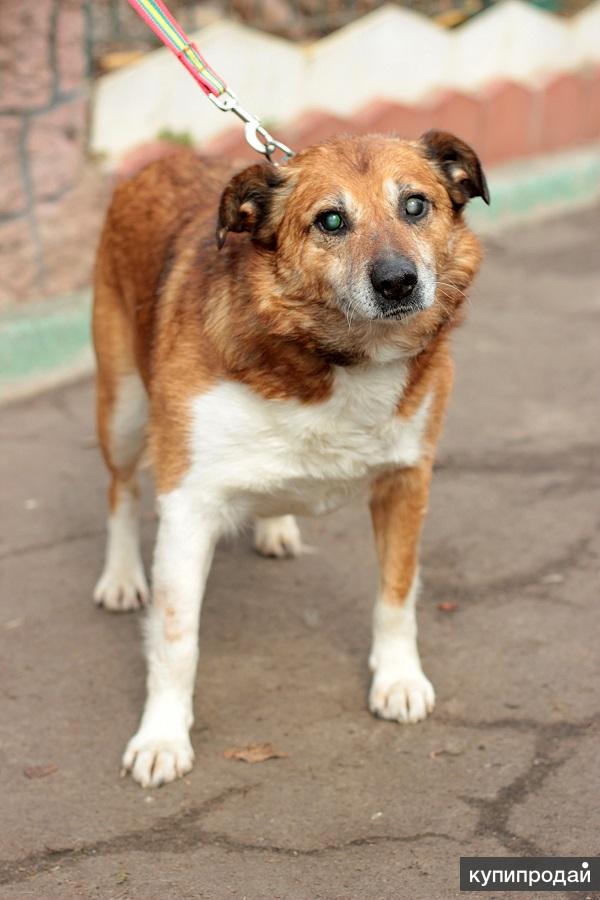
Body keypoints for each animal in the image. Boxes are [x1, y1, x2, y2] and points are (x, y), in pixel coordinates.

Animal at [92, 128, 488, 788]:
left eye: (415, 206)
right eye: (330, 220)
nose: (398, 282)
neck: (333, 359)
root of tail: (164, 160)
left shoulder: (407, 479)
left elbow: (397, 593)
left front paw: (398, 680)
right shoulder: (187, 507)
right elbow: (176, 639)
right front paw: (162, 737)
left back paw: (275, 524)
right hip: (121, 408)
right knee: (121, 491)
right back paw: (121, 577)